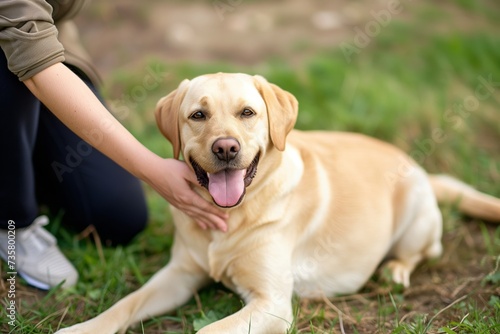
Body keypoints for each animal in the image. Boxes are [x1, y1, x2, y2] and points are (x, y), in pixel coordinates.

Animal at [58, 73, 500, 334]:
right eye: (198, 115)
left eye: (247, 112)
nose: (225, 148)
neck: (232, 217)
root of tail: (417, 164)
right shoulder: (179, 274)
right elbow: (124, 304)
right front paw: (81, 329)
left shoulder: (271, 304)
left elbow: (206, 330)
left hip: (416, 215)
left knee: (424, 252)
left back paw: (394, 270)